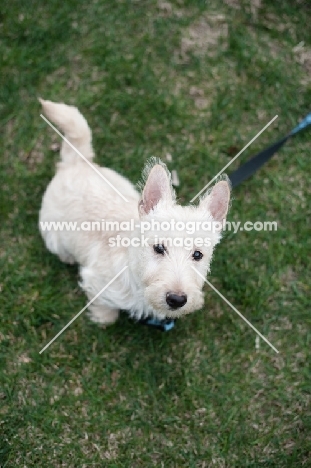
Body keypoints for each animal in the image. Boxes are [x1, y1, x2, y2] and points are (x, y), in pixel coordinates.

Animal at [39, 98, 230, 326]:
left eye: (198, 254)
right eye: (158, 248)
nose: (176, 299)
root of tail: (77, 162)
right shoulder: (95, 280)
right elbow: (104, 307)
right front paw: (103, 318)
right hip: (53, 235)